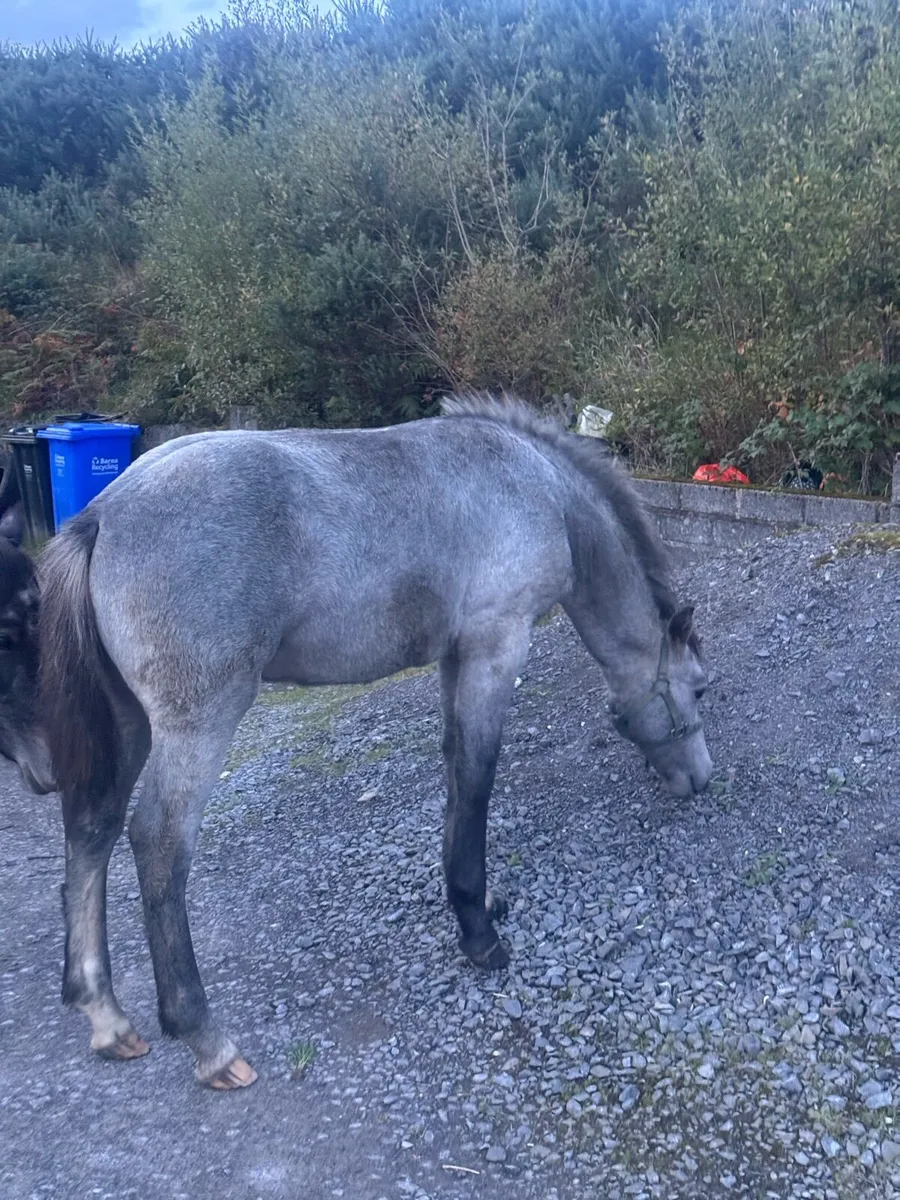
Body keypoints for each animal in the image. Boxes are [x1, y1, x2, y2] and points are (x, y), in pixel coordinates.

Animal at [11, 393, 713, 1090]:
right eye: (699, 690)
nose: (701, 780)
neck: (540, 486)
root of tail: (101, 516)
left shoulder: (457, 657)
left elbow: (456, 771)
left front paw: (475, 900)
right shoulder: (497, 646)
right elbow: (478, 781)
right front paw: (479, 934)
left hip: (126, 724)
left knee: (92, 830)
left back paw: (106, 1017)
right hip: (198, 726)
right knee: (157, 842)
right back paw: (205, 1039)